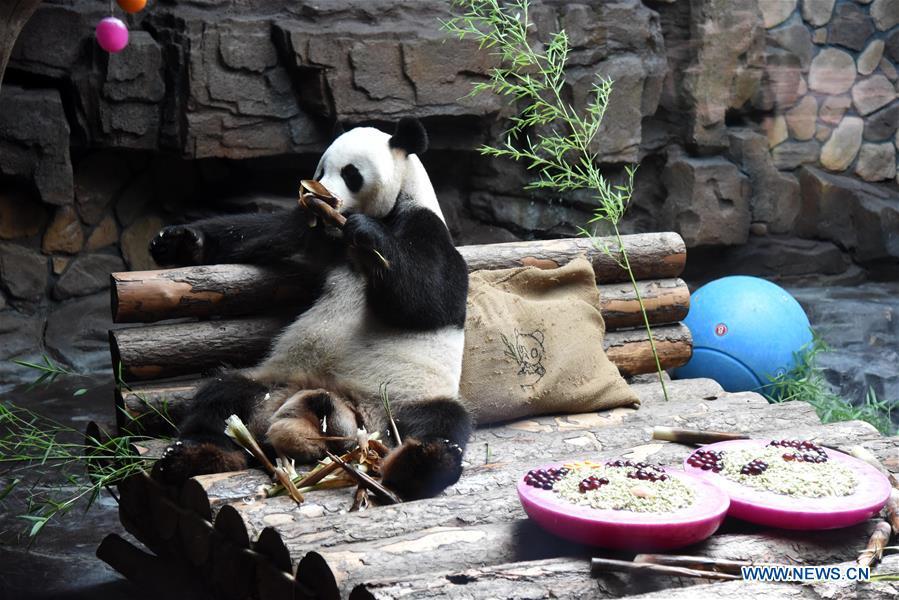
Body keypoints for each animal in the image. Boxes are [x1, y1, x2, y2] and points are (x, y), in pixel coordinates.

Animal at [148, 116, 472, 496]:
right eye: (320, 168)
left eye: (351, 173)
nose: (317, 196)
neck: (340, 236)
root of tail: (345, 412)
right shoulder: (311, 232)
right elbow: (257, 232)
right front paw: (178, 241)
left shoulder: (424, 227)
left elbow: (431, 297)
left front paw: (368, 234)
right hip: (271, 383)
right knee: (222, 396)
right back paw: (195, 455)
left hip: (403, 397)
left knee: (441, 422)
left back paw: (421, 462)